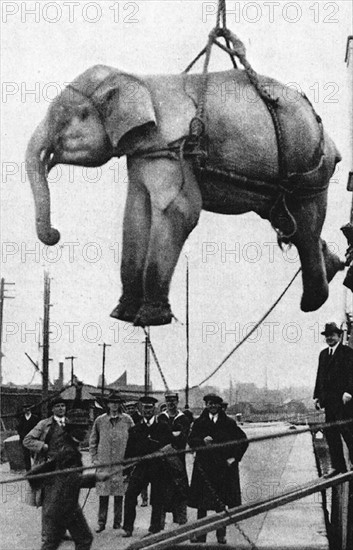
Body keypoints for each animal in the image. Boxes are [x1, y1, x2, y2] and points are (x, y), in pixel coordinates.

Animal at [25, 63, 344, 328]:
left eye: (72, 117)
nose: (55, 234)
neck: (140, 79)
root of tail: (329, 139)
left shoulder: (173, 149)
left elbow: (178, 210)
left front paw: (150, 319)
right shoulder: (144, 154)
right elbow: (136, 213)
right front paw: (122, 314)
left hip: (310, 168)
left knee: (305, 226)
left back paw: (312, 302)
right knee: (289, 222)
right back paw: (332, 266)